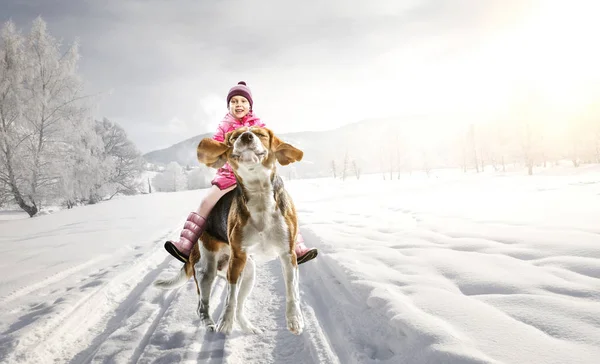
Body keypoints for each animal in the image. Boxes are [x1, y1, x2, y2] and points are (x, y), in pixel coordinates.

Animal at [155, 127, 304, 336]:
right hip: (207, 270)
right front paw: (225, 322)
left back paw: (247, 327)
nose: (246, 136)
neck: (258, 191)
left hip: (248, 271)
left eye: (261, 134)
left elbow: (292, 290)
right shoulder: (237, 258)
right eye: (234, 136)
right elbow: (229, 297)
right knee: (202, 306)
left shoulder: (287, 254)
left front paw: (295, 320)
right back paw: (210, 324)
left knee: (240, 306)